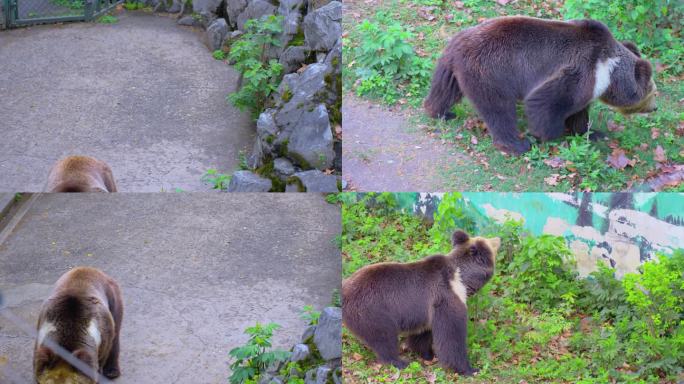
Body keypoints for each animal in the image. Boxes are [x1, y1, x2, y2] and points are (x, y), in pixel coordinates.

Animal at [344, 231, 500, 376]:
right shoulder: (445, 298)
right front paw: (470, 369)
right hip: (372, 311)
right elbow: (451, 336)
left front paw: (427, 354)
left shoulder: (425, 311)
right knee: (384, 338)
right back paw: (400, 362)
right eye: (490, 243)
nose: (498, 238)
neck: (460, 280)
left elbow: (422, 335)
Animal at [428, 16, 656, 154]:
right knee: (499, 109)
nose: (654, 108)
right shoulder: (582, 69)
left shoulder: (590, 83)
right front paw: (547, 135)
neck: (607, 70)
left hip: (452, 66)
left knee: (444, 90)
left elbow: (579, 113)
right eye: (654, 92)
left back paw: (441, 112)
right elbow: (547, 101)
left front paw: (593, 133)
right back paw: (517, 144)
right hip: (492, 71)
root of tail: (459, 42)